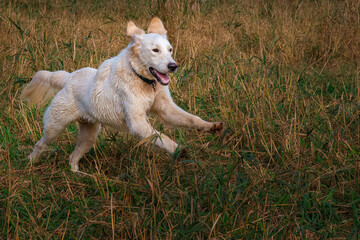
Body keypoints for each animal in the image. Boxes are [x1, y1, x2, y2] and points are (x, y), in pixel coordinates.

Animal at [21, 17, 224, 172]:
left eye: (170, 49)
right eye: (155, 50)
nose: (173, 66)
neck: (144, 81)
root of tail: (68, 77)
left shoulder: (166, 110)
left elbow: (191, 119)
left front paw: (212, 126)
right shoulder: (137, 123)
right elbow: (160, 137)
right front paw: (178, 149)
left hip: (89, 136)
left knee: (73, 156)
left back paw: (77, 174)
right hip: (54, 128)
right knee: (40, 144)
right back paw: (31, 162)